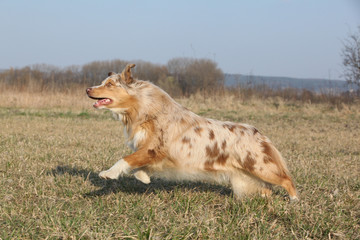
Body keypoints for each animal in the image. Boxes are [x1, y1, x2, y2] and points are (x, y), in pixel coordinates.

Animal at [86, 63, 298, 201]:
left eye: (109, 85)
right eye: (103, 82)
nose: (88, 89)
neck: (145, 109)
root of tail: (259, 134)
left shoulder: (153, 148)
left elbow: (125, 159)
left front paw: (108, 174)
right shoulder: (154, 153)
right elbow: (138, 167)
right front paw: (144, 177)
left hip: (259, 167)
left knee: (286, 180)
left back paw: (294, 201)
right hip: (250, 173)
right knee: (267, 189)